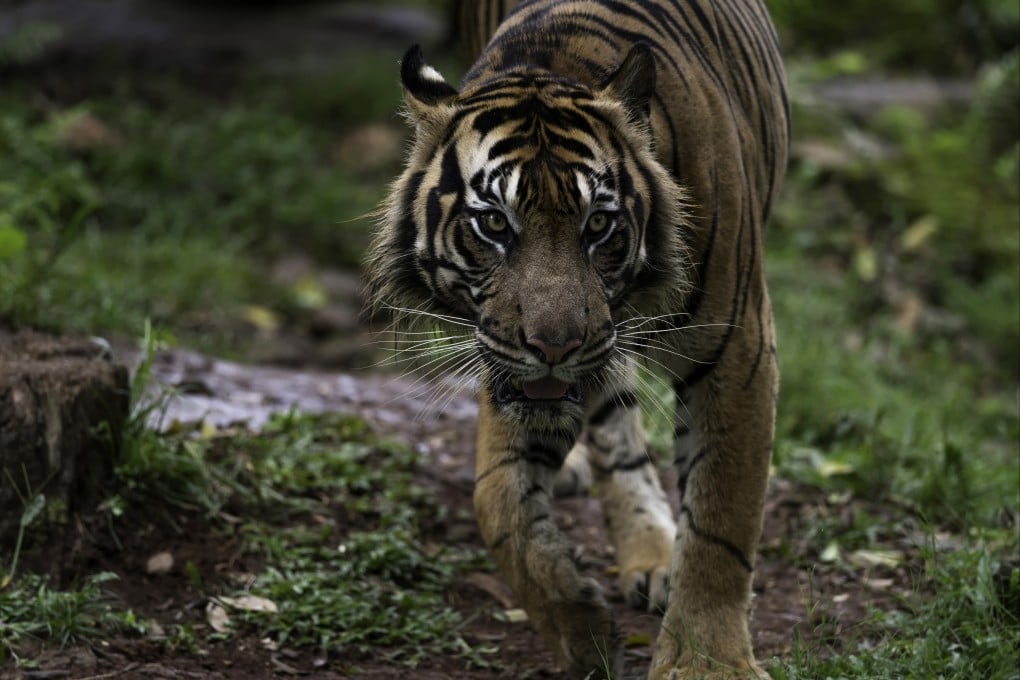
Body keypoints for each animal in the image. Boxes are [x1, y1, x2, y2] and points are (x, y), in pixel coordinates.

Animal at [365, 0, 789, 677]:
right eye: (494, 224)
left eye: (598, 224)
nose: (555, 347)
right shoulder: (509, 366)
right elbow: (498, 504)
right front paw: (582, 632)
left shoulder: (738, 349)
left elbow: (722, 519)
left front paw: (708, 662)